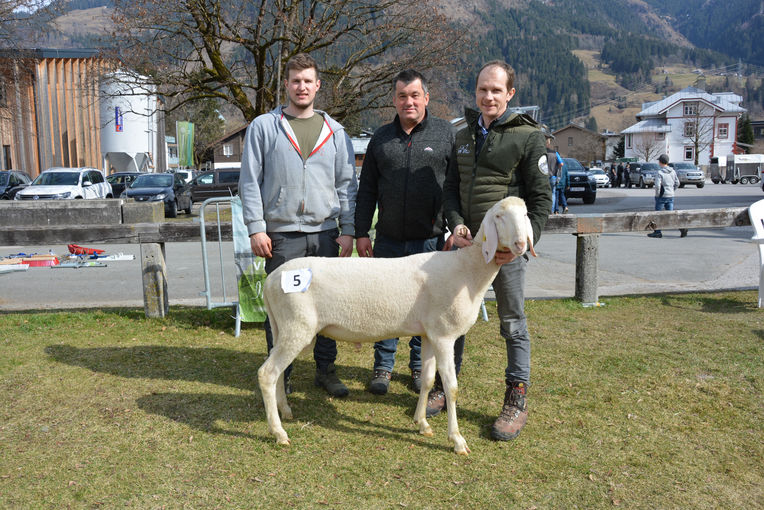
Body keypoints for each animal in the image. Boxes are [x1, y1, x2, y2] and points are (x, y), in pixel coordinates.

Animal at [260, 196, 536, 454]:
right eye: (499, 216)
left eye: (525, 214)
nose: (520, 245)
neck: (467, 269)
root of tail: (271, 280)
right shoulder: (444, 335)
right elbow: (451, 387)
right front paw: (457, 440)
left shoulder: (429, 333)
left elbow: (427, 379)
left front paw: (422, 423)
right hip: (297, 326)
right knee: (268, 373)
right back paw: (278, 432)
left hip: (285, 327)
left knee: (278, 372)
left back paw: (285, 411)